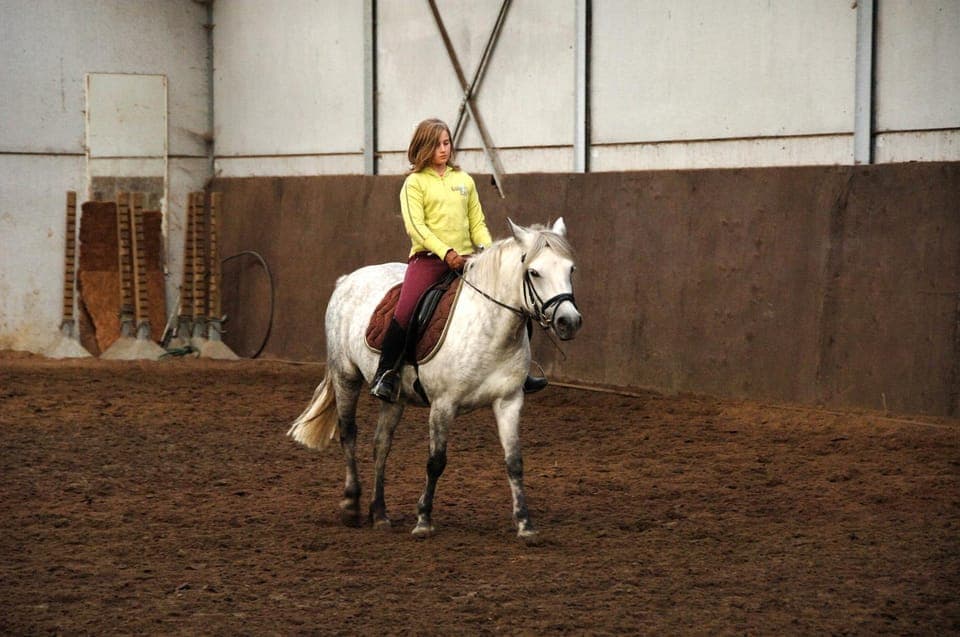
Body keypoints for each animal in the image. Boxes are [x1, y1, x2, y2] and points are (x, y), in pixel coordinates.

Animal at [287, 218, 582, 540]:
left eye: (570, 269)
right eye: (534, 272)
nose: (569, 322)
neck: (490, 327)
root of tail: (347, 279)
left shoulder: (509, 401)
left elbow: (514, 462)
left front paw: (525, 524)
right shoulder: (444, 404)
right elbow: (436, 461)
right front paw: (423, 520)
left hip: (395, 398)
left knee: (381, 444)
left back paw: (380, 513)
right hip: (346, 377)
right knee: (348, 434)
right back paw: (352, 505)